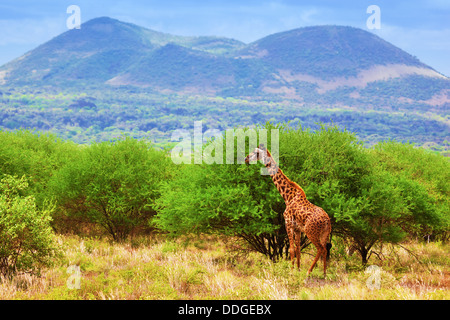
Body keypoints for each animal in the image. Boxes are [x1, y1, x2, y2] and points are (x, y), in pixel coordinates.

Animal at [244, 146, 332, 278]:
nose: (246, 159)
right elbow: (298, 250)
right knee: (325, 249)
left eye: (256, 152)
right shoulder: (297, 229)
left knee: (321, 249)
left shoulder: (288, 224)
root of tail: (327, 221)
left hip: (311, 232)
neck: (287, 197)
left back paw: (309, 272)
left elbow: (291, 249)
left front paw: (291, 272)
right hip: (324, 234)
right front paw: (298, 270)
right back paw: (324, 273)